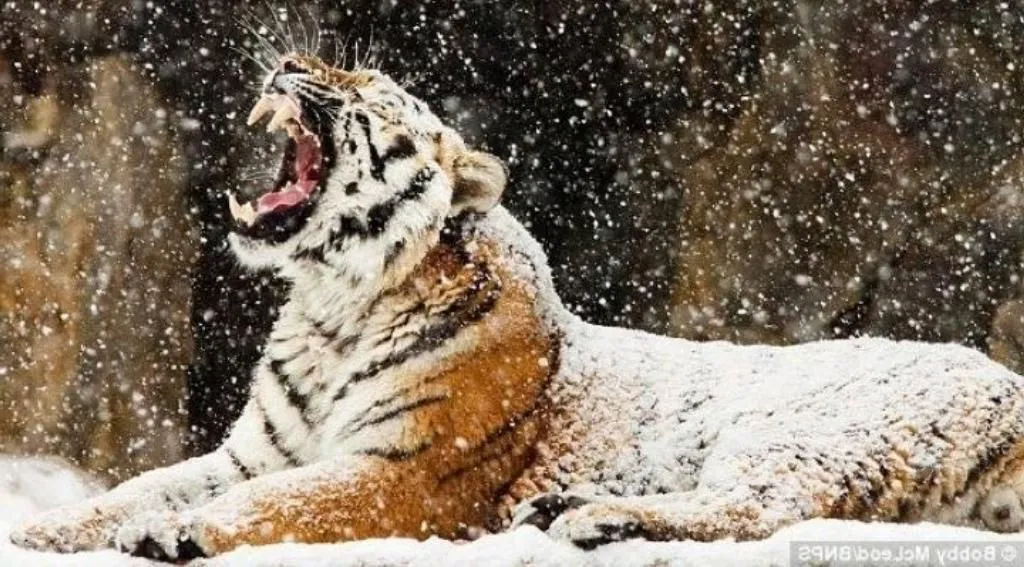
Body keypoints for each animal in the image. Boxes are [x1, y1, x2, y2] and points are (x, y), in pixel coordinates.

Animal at [10, 52, 1024, 562]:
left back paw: (592, 521)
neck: (334, 308)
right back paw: (572, 509)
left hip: (794, 430)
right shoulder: (250, 451)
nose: (289, 56)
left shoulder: (399, 471)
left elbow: (275, 504)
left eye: (371, 87)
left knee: (763, 512)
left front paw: (176, 533)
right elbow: (143, 483)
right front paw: (46, 531)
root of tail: (1004, 382)